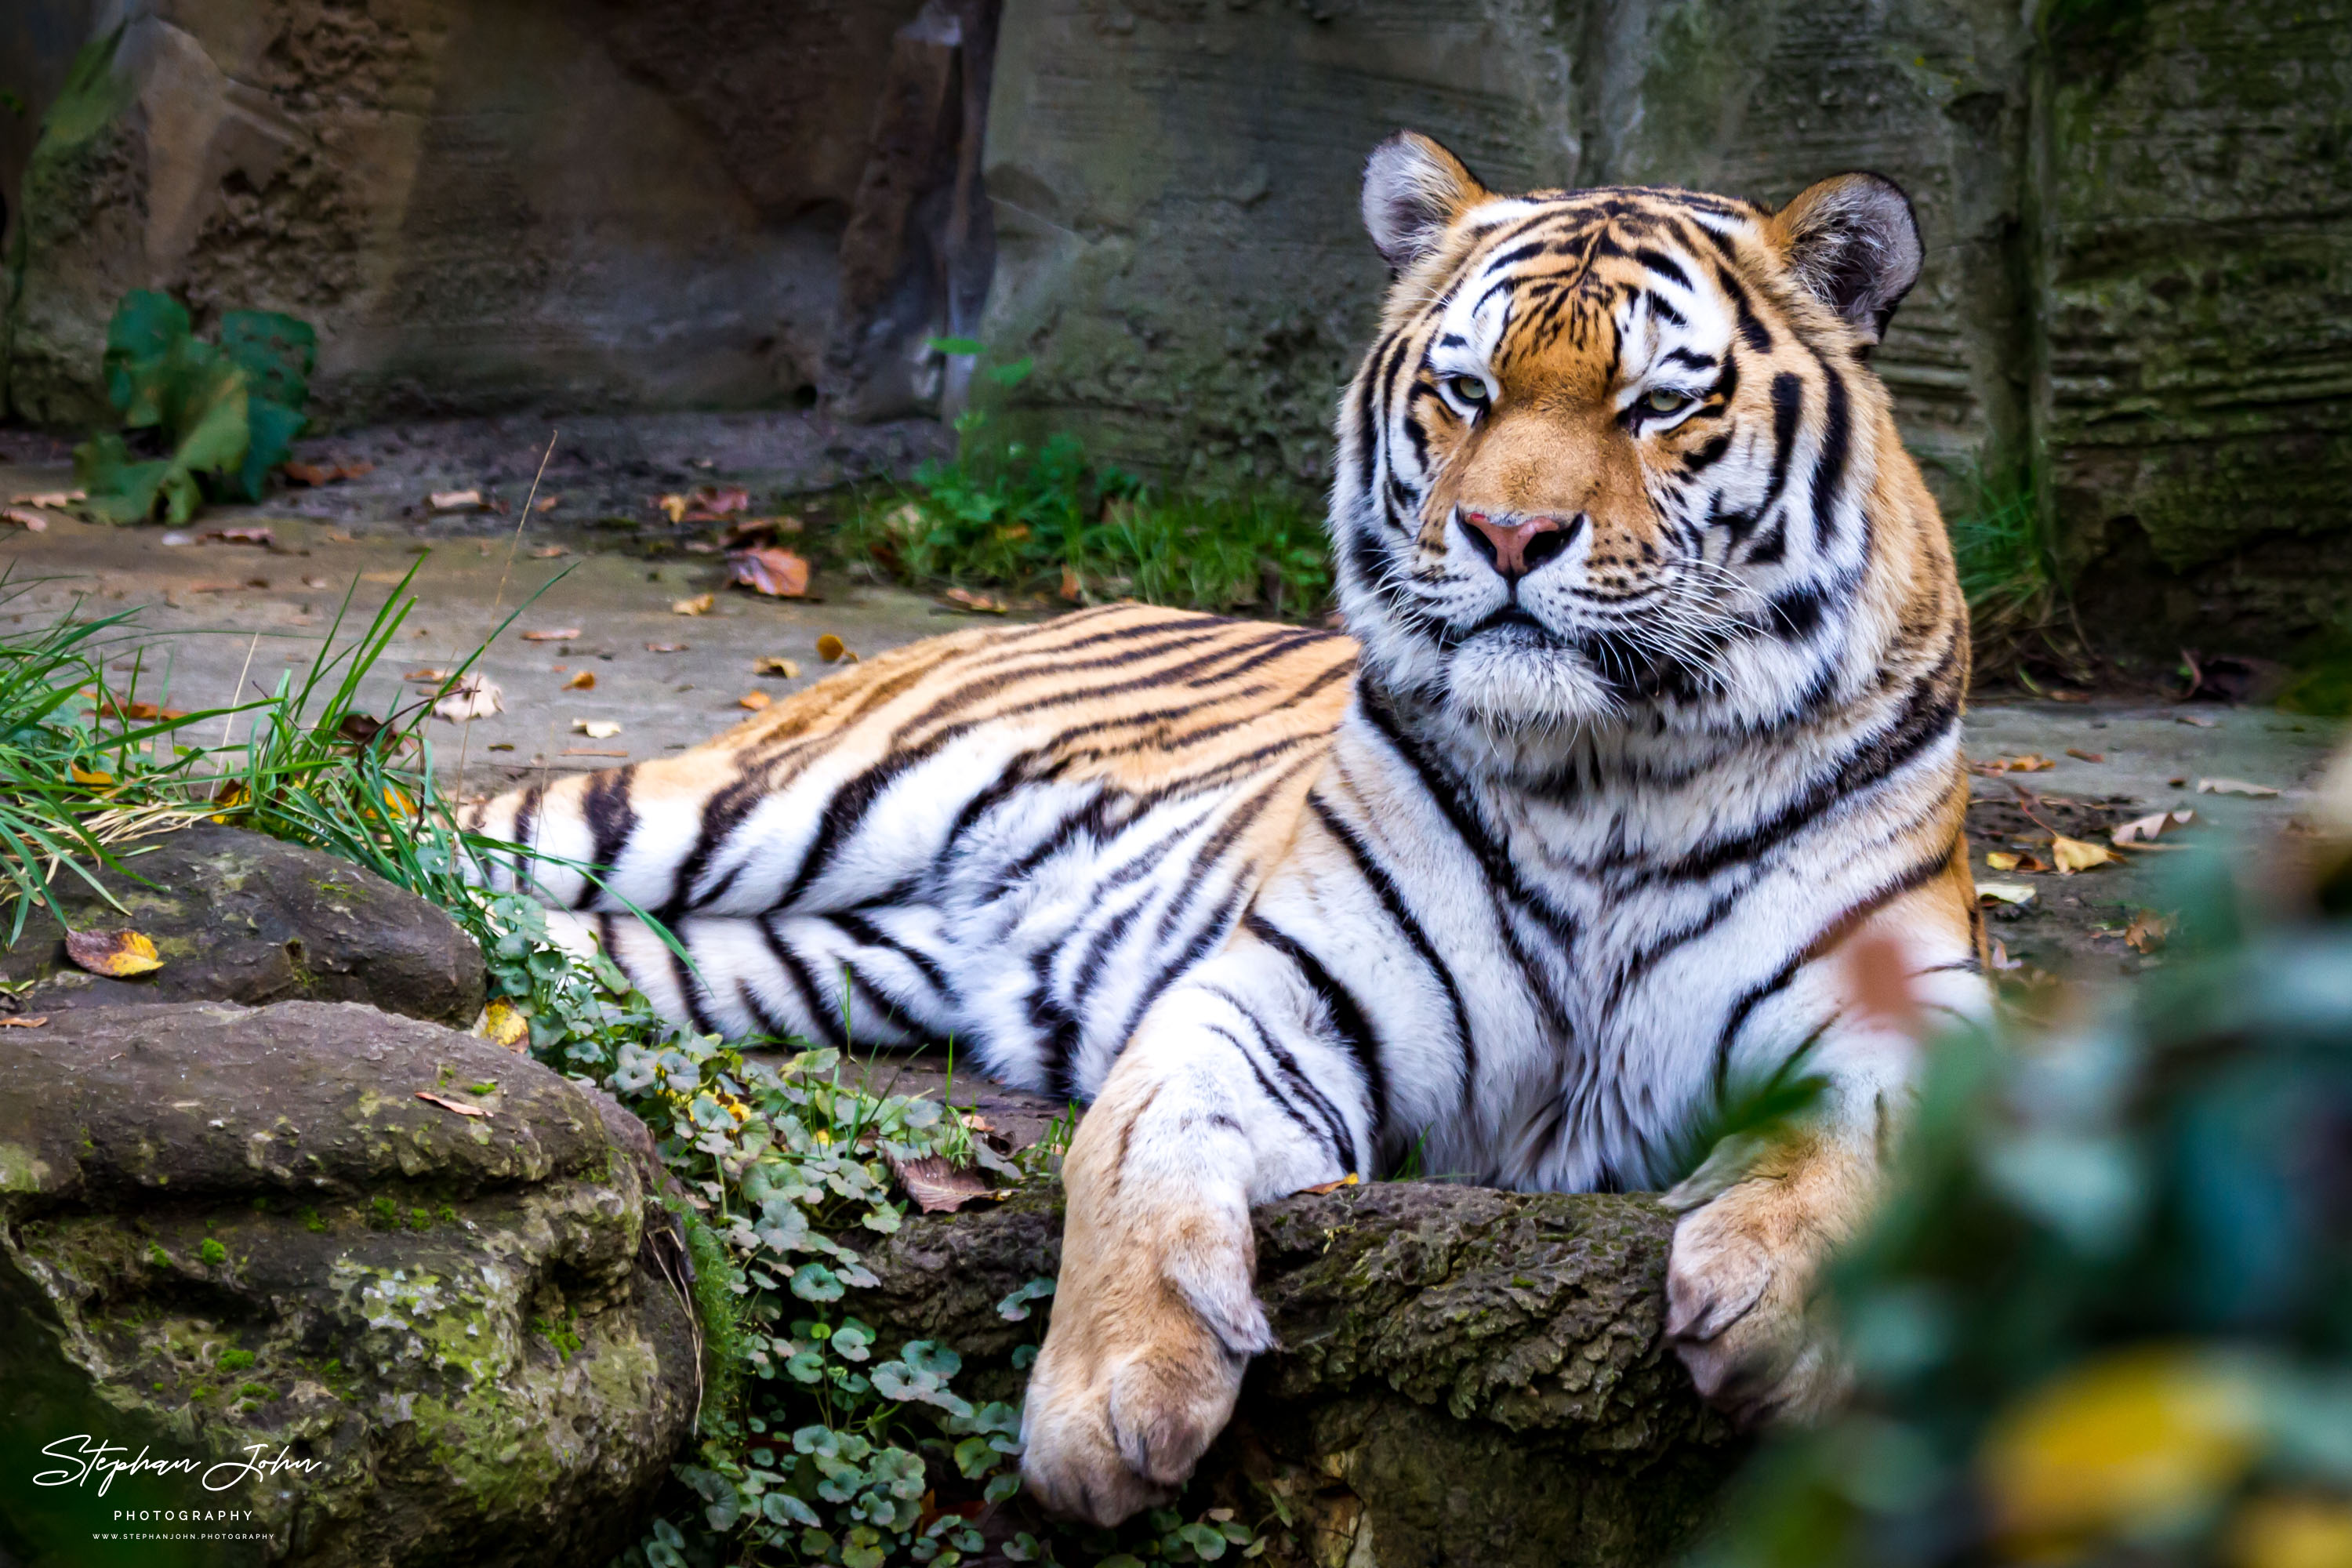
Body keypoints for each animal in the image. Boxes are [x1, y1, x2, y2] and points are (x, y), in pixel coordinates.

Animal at [468, 135, 1994, 1533]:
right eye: (1467, 390)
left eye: (1659, 402)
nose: (1508, 535)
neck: (1605, 770)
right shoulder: (1277, 996)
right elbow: (1133, 1156)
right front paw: (1108, 1410)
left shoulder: (1902, 1008)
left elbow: (1870, 1144)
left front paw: (1782, 1315)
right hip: (762, 805)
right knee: (465, 825)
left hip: (799, 954)